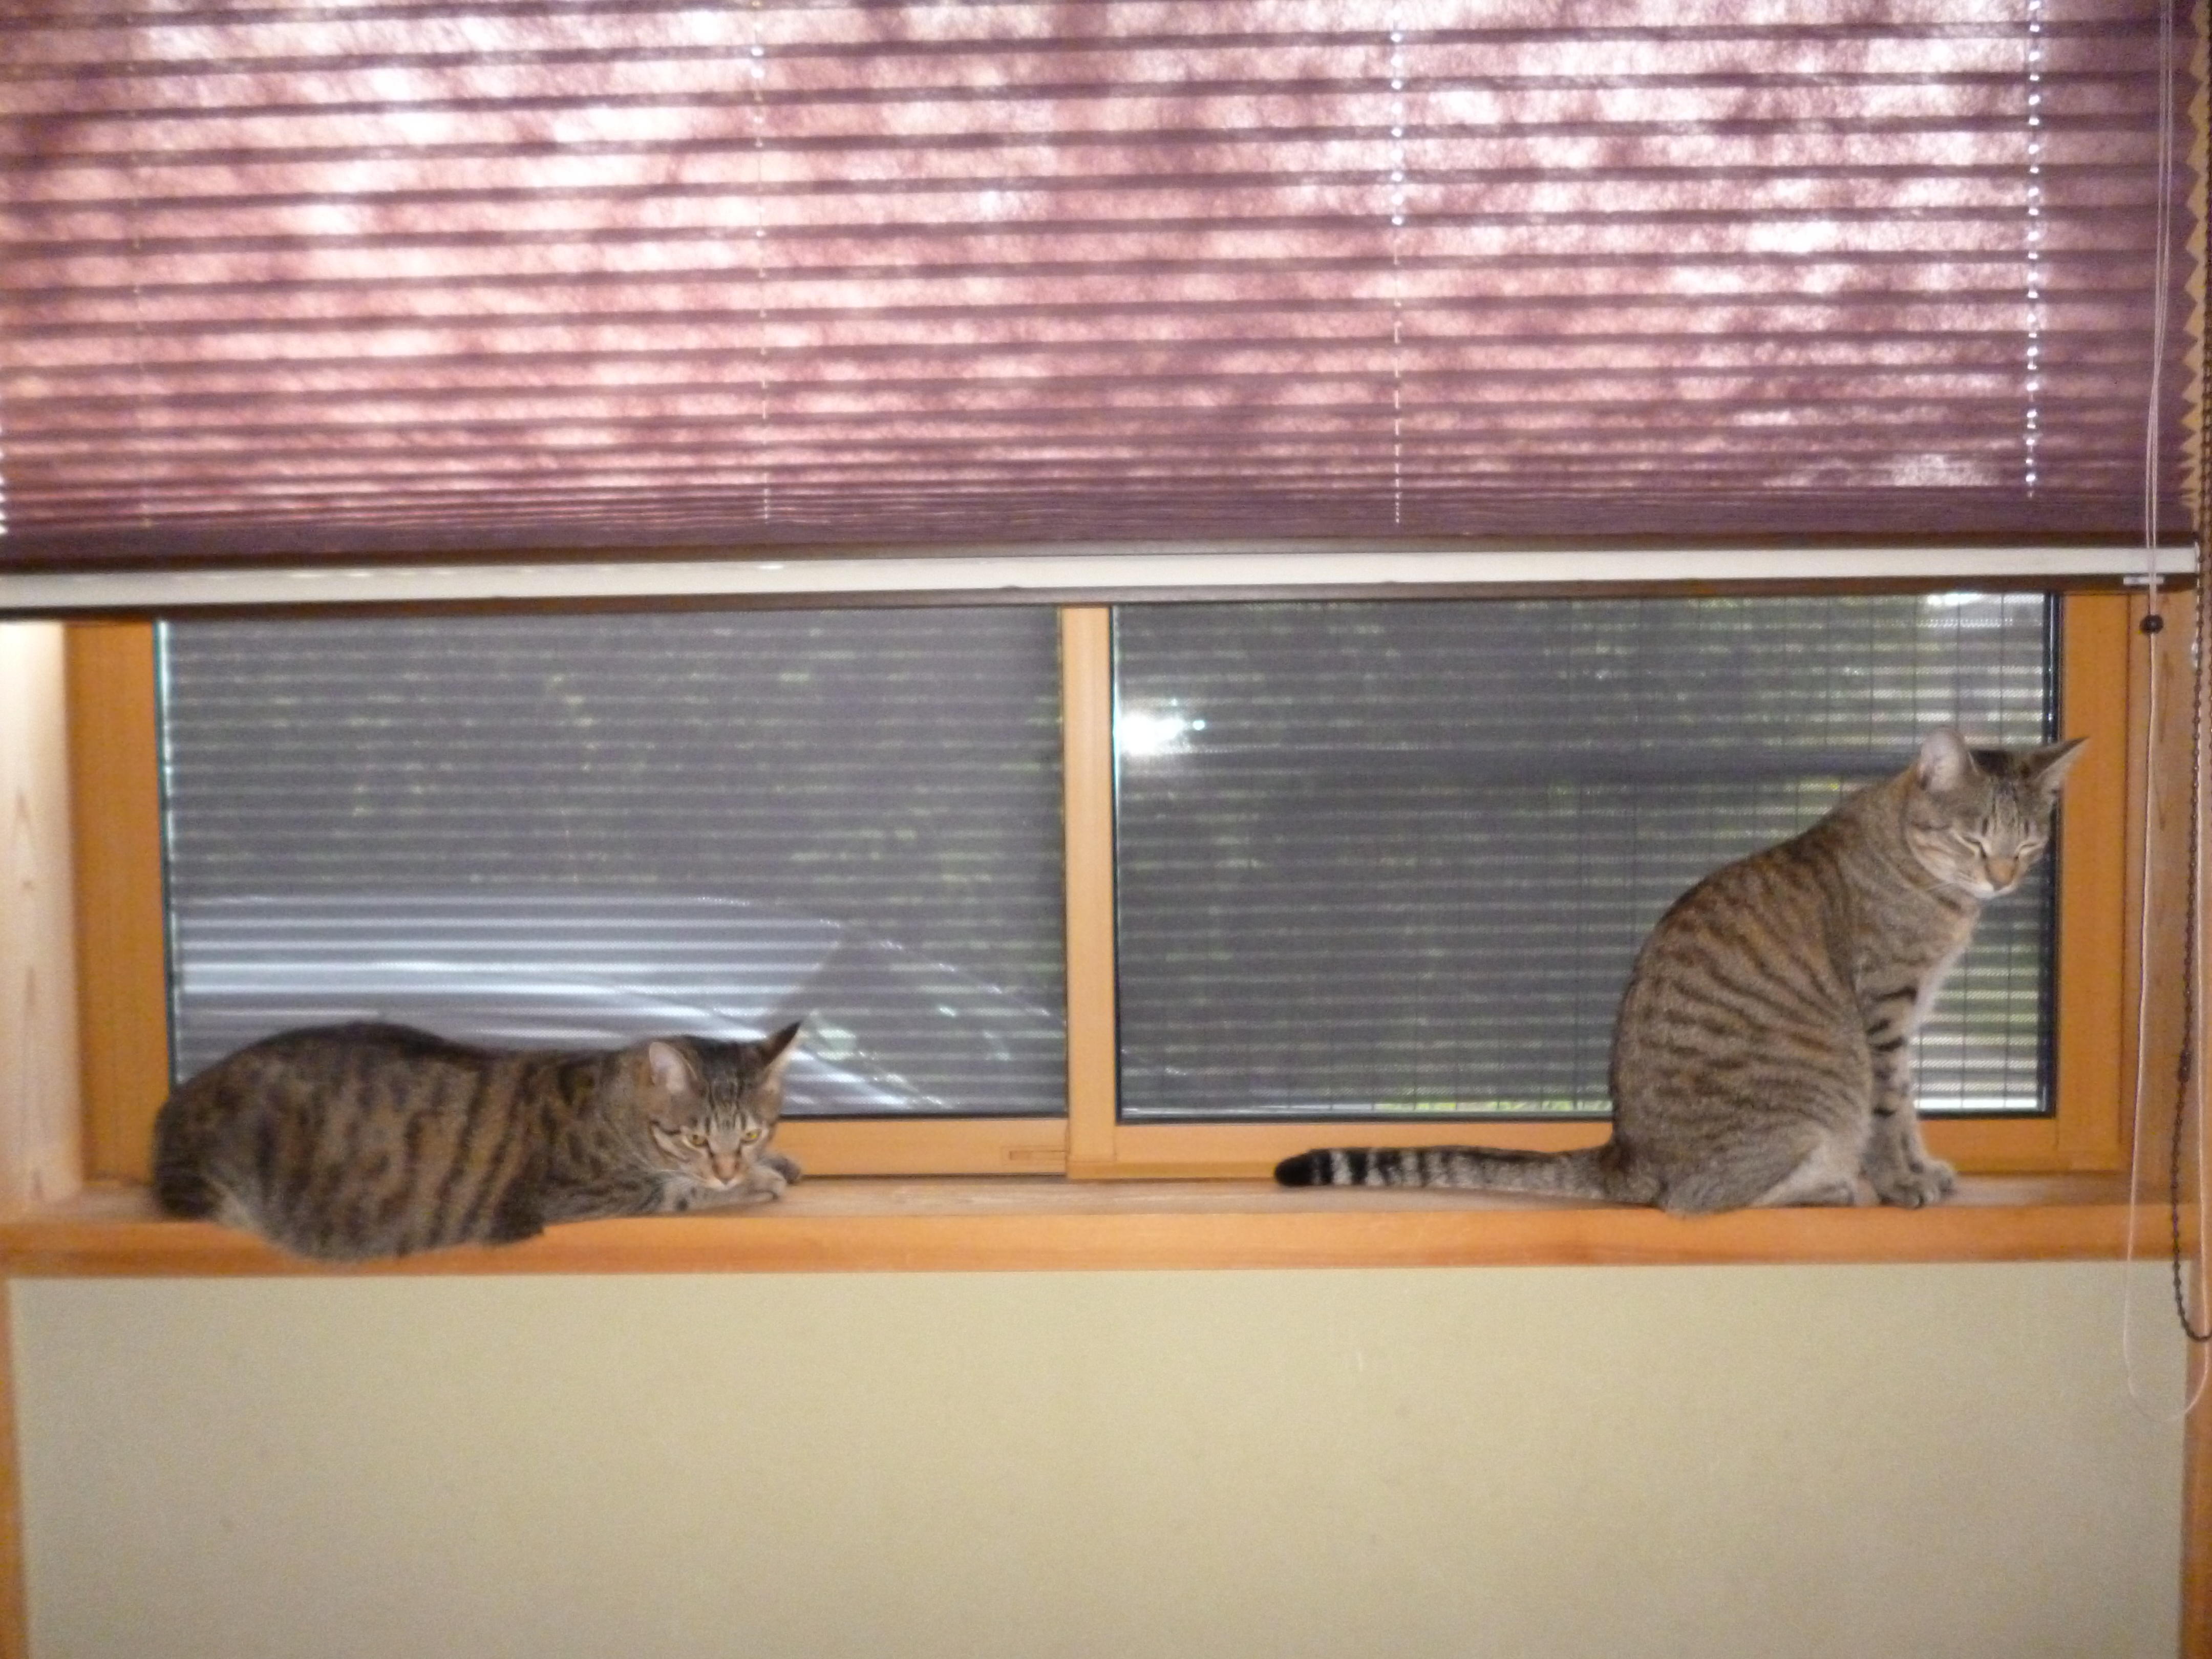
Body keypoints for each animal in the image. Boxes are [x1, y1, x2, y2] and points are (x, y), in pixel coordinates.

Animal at [152, 1019, 803, 1260]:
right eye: (693, 1139)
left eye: (751, 1131)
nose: (728, 1167)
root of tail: (173, 1111)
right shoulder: (578, 1194)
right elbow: (682, 1192)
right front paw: (756, 1182)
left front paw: (777, 1161)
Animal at [1276, 728, 2084, 1213]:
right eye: (1974, 839)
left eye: (2030, 843)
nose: (2006, 878)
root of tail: (1625, 1155)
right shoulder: (1885, 1011)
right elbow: (1892, 1113)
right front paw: (1902, 1183)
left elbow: (1910, 1108)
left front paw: (1923, 1169)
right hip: (1809, 1106)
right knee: (1696, 1199)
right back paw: (1826, 1188)